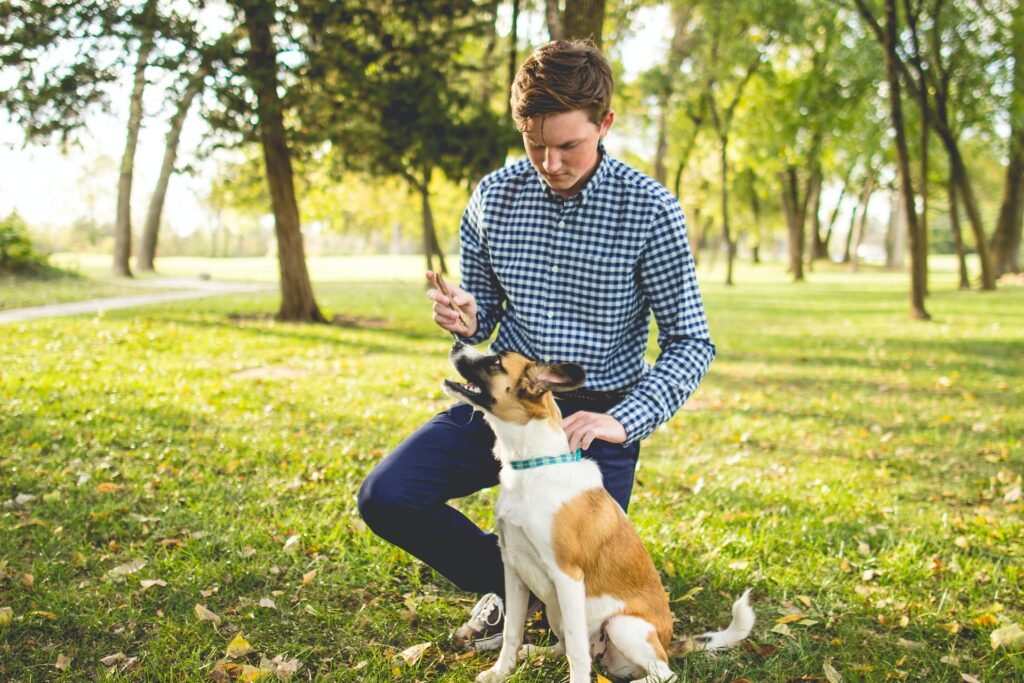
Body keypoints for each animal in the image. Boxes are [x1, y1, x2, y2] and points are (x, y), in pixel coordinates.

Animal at [444, 344, 757, 683]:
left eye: (495, 361)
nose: (456, 344)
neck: (533, 468)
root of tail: (667, 642)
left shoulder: (567, 576)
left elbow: (577, 652)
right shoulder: (513, 568)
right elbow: (513, 632)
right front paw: (501, 671)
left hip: (623, 626)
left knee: (663, 673)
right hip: (557, 611)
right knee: (567, 645)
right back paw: (537, 651)